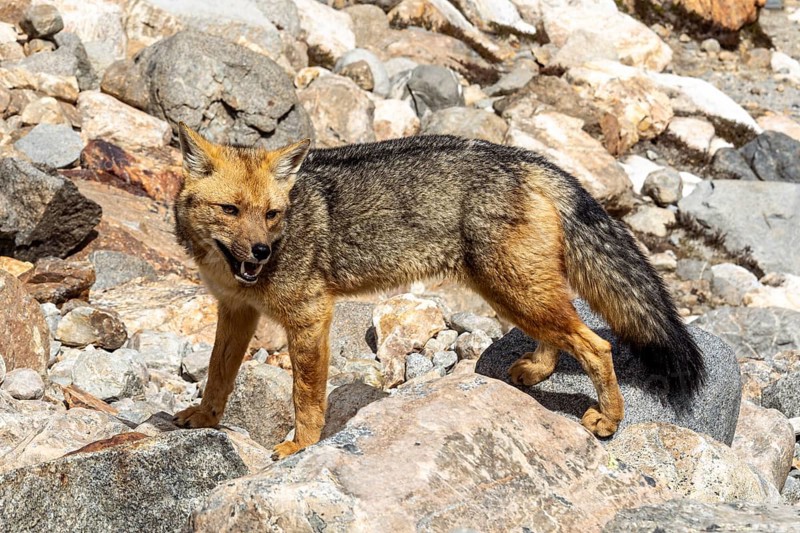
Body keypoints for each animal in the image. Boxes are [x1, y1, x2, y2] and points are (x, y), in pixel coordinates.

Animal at [172, 123, 706, 459]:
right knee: (565, 331)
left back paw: (608, 419)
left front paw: (300, 446)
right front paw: (203, 419)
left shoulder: (309, 315)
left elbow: (305, 396)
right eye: (229, 210)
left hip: (514, 292)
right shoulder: (236, 310)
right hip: (515, 293)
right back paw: (536, 370)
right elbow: (218, 375)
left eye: (272, 214)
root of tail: (523, 157)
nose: (261, 252)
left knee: (596, 345)